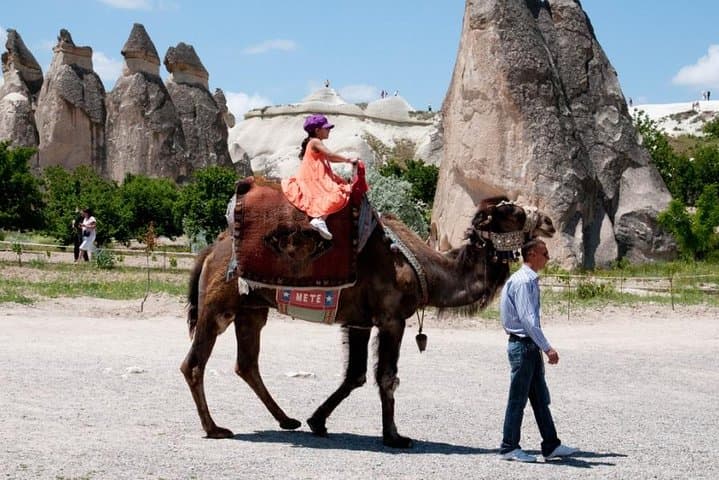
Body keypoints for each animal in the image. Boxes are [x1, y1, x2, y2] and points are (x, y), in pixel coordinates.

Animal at [181, 191, 555, 448]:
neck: (427, 270)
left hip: (252, 309)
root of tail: (210, 250)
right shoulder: (391, 319)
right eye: (512, 211)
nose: (549, 222)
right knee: (195, 364)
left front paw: (317, 421)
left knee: (247, 363)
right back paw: (215, 429)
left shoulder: (358, 321)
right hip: (218, 305)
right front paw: (395, 437)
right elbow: (386, 377)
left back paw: (287, 420)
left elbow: (355, 376)